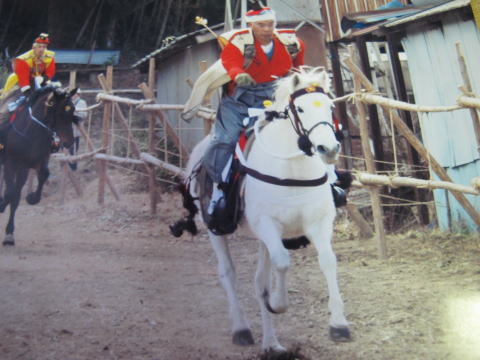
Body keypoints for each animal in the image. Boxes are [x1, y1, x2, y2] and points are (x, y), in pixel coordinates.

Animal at [0, 86, 78, 246]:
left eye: (72, 110)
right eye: (59, 113)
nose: (68, 142)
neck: (31, 132)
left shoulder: (30, 165)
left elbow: (41, 176)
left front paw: (31, 198)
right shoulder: (10, 164)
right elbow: (10, 193)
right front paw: (1, 205)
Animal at [178, 67, 350, 352]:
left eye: (330, 107)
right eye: (300, 109)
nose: (329, 148)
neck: (292, 169)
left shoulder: (319, 222)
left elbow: (328, 261)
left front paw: (339, 324)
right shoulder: (266, 223)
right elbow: (282, 261)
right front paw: (279, 304)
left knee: (260, 281)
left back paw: (272, 344)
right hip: (216, 230)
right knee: (228, 274)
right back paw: (241, 329)